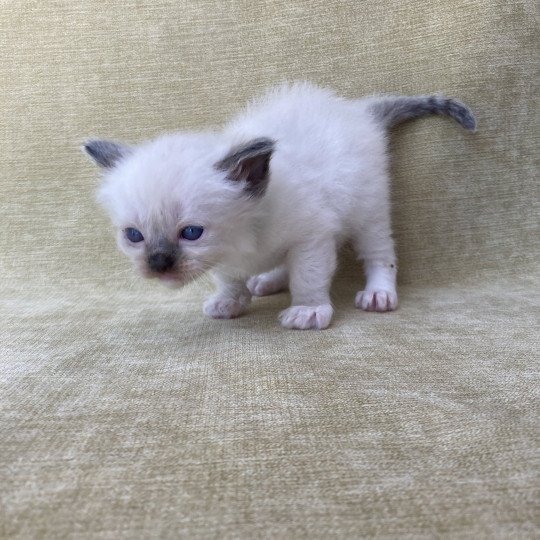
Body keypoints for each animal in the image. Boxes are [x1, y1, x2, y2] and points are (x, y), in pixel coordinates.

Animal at [82, 83, 474, 332]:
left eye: (191, 232)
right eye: (134, 236)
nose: (158, 263)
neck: (245, 240)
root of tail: (357, 110)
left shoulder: (312, 236)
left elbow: (308, 276)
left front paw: (308, 310)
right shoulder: (234, 257)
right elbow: (230, 278)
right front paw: (230, 301)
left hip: (368, 210)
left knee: (380, 254)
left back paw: (379, 293)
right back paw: (266, 280)